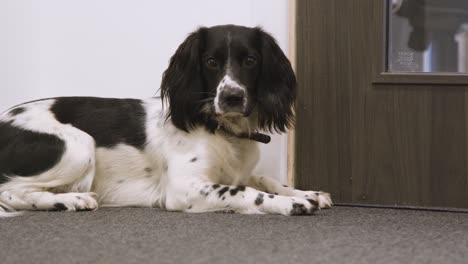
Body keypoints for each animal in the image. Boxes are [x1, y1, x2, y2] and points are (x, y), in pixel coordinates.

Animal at [0, 25, 330, 218]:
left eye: (251, 60)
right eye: (211, 61)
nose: (232, 97)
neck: (222, 132)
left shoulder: (236, 173)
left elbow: (265, 179)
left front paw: (306, 192)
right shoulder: (184, 188)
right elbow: (244, 191)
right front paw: (290, 203)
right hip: (78, 145)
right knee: (10, 192)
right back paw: (71, 199)